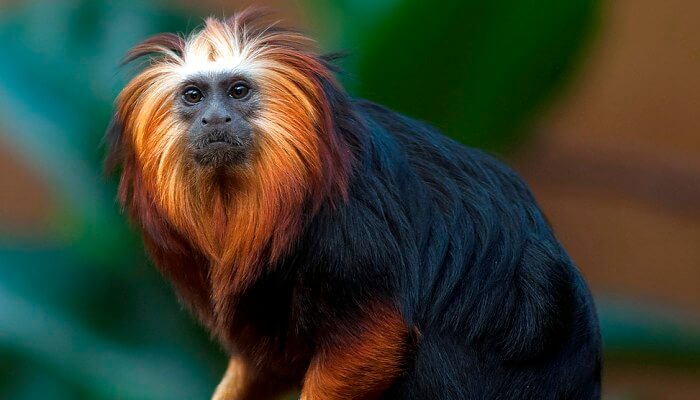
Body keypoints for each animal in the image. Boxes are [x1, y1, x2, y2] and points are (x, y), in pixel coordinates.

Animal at [105, 9, 600, 400]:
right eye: (193, 96)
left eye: (238, 91)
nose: (215, 119)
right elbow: (266, 361)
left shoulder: (352, 225)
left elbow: (375, 339)